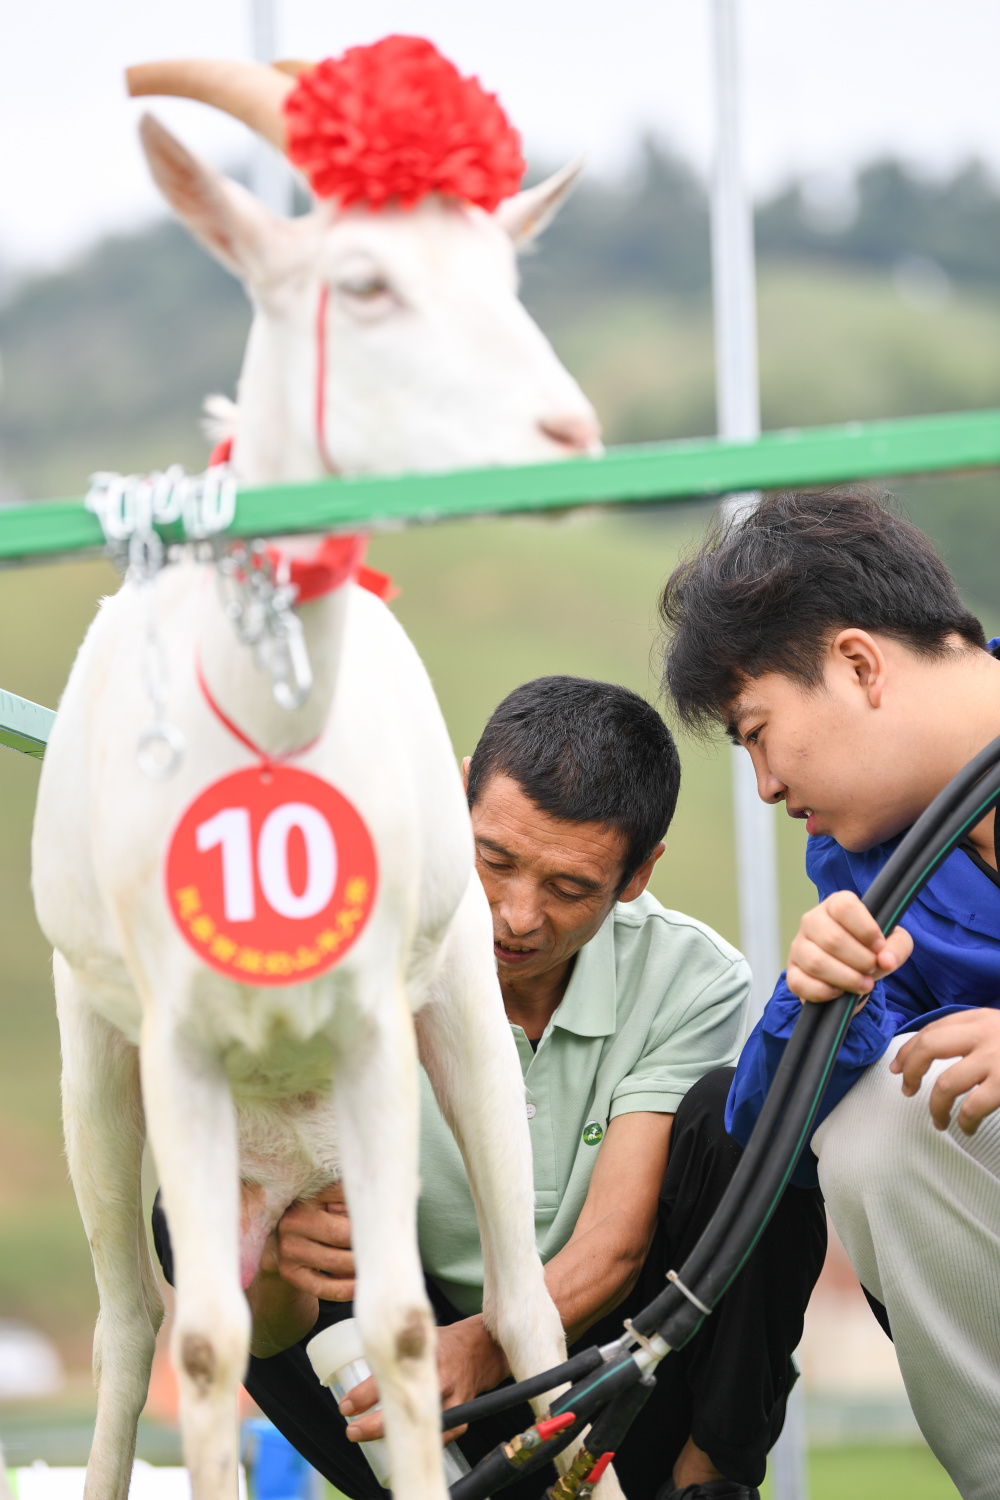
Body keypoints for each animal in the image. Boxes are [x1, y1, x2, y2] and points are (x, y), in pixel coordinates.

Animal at [31, 46, 605, 1500]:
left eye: (504, 274)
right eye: (364, 281)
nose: (569, 435)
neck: (262, 742)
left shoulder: (372, 1023)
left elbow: (404, 1326)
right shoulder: (168, 1036)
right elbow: (203, 1348)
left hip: (456, 1009)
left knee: (519, 1306)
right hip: (97, 1067)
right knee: (133, 1327)